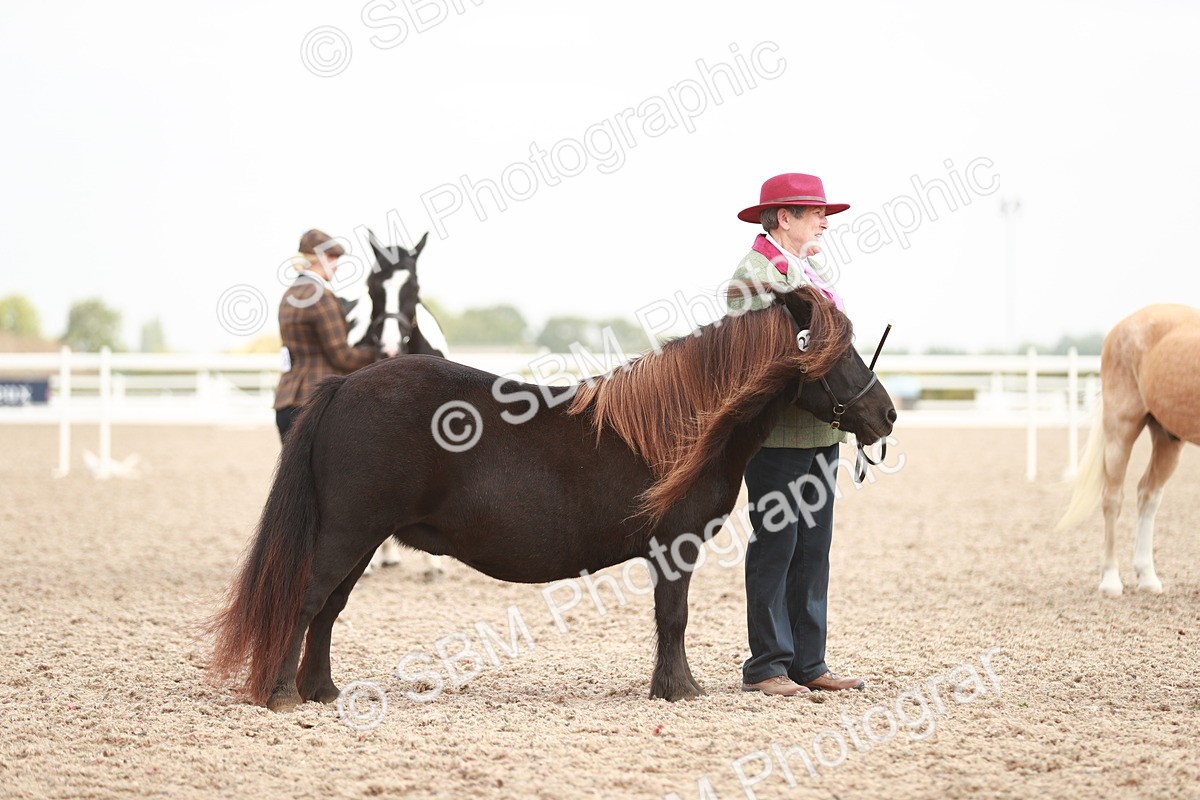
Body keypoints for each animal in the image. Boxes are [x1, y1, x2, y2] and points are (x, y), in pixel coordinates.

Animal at [208, 284, 896, 711]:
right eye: (840, 351)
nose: (886, 414)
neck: (681, 423)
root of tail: (343, 387)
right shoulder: (674, 546)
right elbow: (673, 618)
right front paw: (680, 690)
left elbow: (667, 619)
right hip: (349, 532)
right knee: (306, 599)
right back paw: (283, 694)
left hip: (361, 539)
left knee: (327, 609)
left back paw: (321, 691)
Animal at [1057, 303, 1200, 596]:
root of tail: (1121, 326)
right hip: (1120, 430)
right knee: (1113, 499)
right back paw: (1111, 581)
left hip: (1168, 439)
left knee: (1148, 494)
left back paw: (1147, 577)